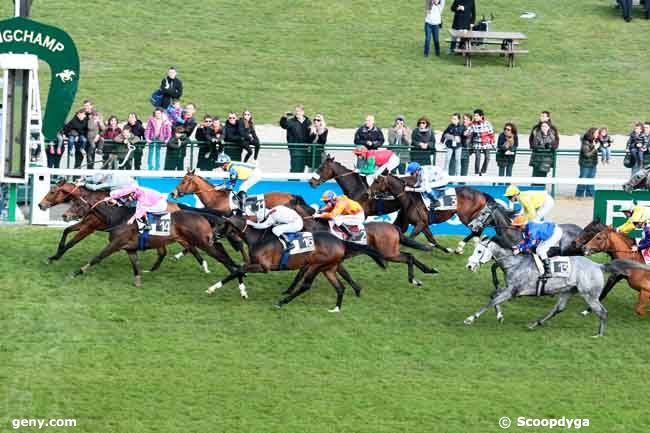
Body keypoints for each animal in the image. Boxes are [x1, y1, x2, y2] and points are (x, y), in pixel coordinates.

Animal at [464, 238, 644, 336]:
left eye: (479, 251)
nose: (469, 266)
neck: (515, 263)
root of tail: (598, 265)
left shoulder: (512, 291)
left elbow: (492, 301)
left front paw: (470, 318)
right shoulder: (509, 289)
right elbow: (493, 296)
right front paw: (499, 316)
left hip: (590, 296)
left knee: (603, 312)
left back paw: (598, 335)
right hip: (568, 291)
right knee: (559, 308)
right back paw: (535, 324)